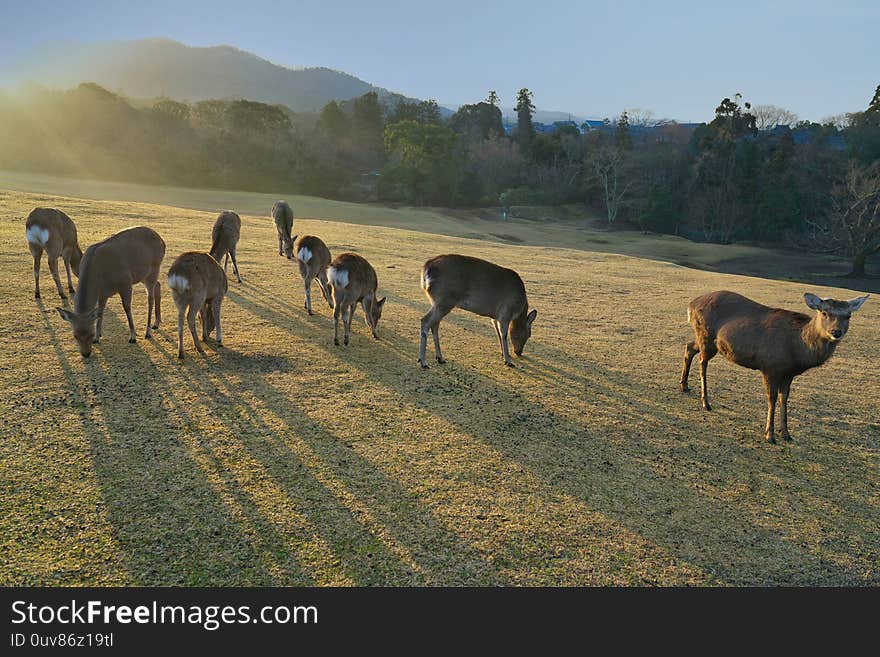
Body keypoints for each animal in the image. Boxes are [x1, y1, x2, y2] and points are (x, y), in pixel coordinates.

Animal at [56, 227, 165, 358]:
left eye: (90, 333)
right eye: (75, 335)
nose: (86, 354)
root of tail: (162, 242)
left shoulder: (125, 282)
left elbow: (127, 308)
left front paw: (133, 337)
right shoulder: (103, 293)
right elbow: (100, 312)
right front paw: (98, 337)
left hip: (153, 269)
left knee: (150, 298)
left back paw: (148, 331)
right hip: (143, 275)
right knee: (158, 285)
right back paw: (156, 323)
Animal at [676, 290, 868, 444]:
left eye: (848, 315)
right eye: (824, 312)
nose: (836, 332)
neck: (797, 351)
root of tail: (691, 305)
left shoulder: (789, 374)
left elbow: (785, 398)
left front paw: (787, 434)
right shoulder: (770, 366)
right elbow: (772, 398)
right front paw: (770, 435)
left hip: (707, 341)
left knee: (689, 346)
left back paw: (684, 385)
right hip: (706, 336)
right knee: (702, 361)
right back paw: (705, 402)